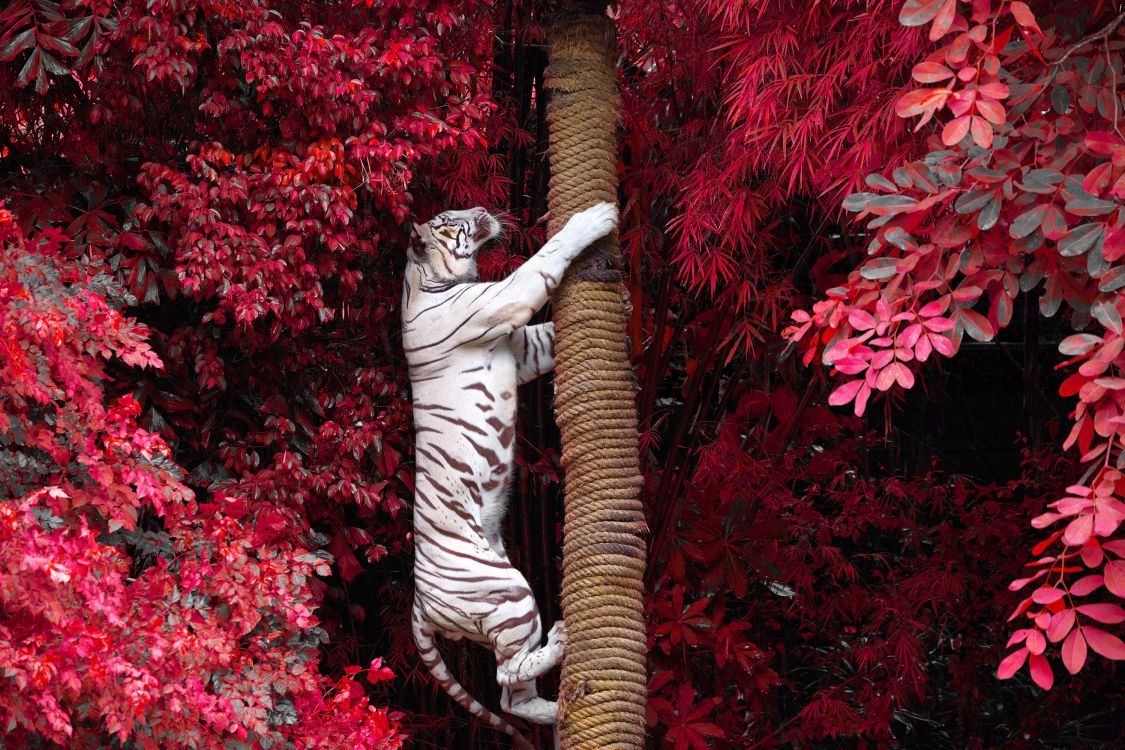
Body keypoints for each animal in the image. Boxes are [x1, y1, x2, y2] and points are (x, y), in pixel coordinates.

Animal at [402, 199, 621, 746]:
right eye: (453, 220)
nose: (481, 206)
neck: (425, 279)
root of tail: (417, 603)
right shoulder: (504, 299)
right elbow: (545, 258)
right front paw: (595, 219)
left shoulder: (523, 348)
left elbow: (547, 334)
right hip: (507, 593)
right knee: (503, 681)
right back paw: (560, 646)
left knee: (511, 697)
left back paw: (556, 709)